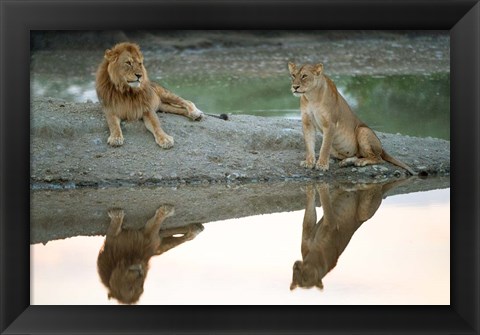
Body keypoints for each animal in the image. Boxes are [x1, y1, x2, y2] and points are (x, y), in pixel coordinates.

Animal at [286, 61, 414, 175]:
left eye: (304, 76)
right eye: (293, 75)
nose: (295, 87)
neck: (311, 96)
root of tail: (382, 148)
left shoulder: (330, 124)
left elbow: (324, 148)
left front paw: (322, 165)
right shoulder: (307, 123)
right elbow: (309, 145)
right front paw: (309, 162)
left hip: (363, 130)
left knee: (378, 159)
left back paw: (360, 162)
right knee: (357, 155)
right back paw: (346, 162)